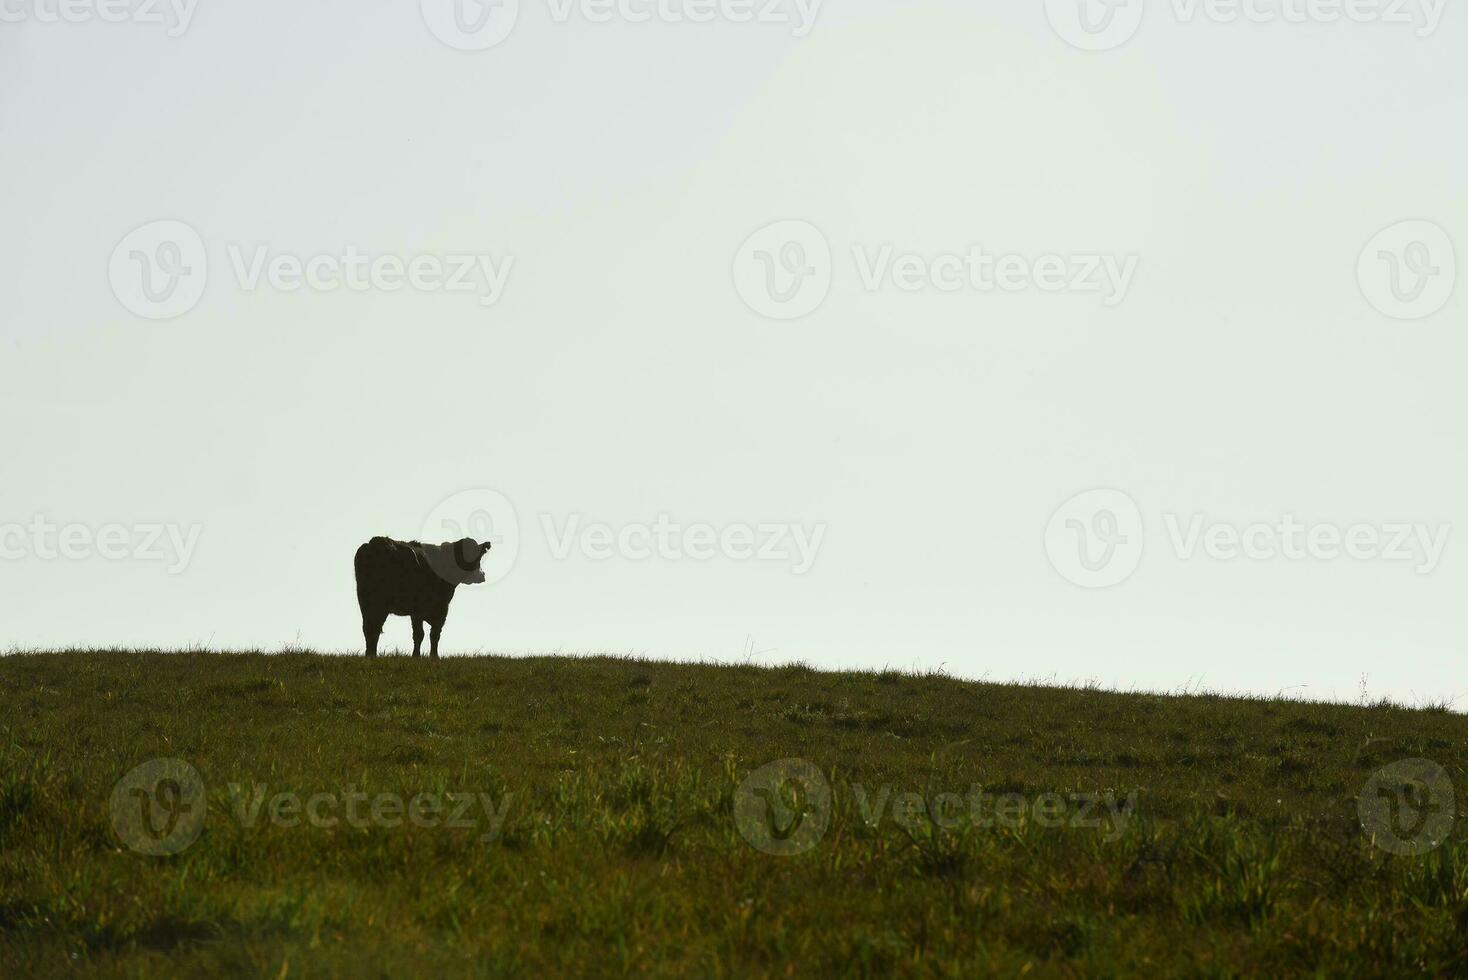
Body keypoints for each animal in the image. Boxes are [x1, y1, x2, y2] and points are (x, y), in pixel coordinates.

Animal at [353, 536, 493, 657]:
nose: (482, 575)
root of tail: (378, 542)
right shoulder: (440, 607)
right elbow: (432, 634)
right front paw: (433, 656)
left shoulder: (416, 612)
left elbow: (419, 634)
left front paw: (416, 656)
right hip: (380, 602)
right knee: (373, 627)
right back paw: (371, 654)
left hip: (365, 601)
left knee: (369, 628)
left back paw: (370, 654)